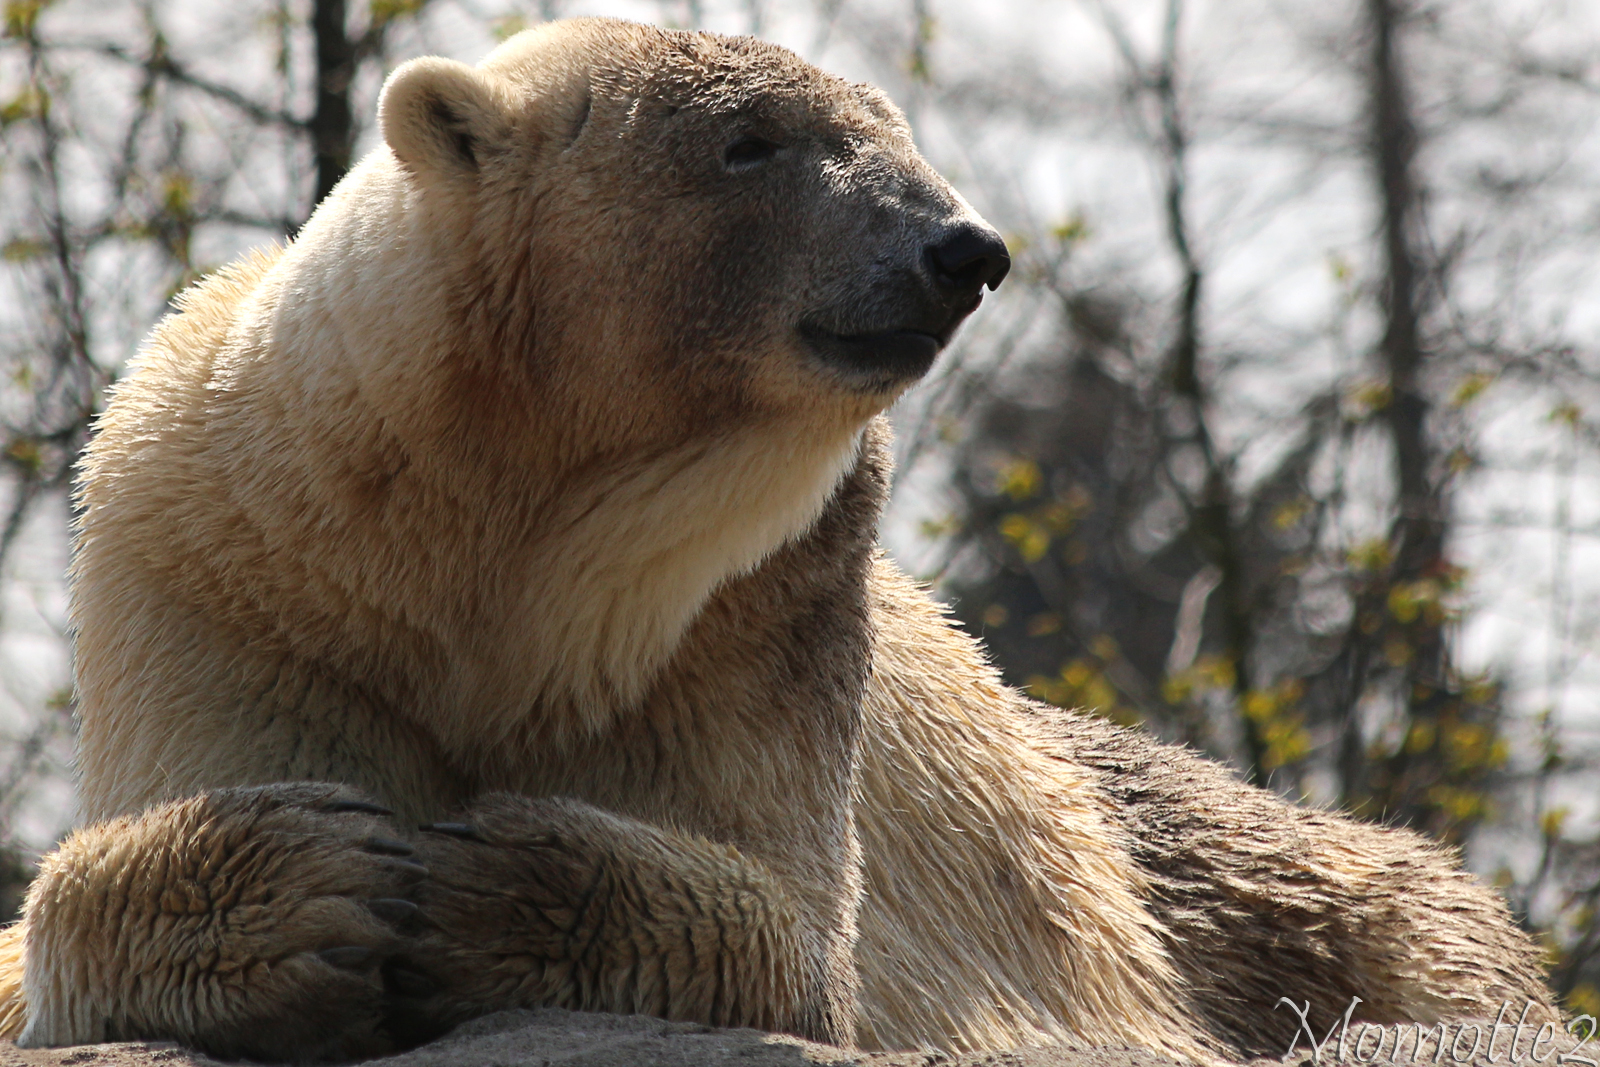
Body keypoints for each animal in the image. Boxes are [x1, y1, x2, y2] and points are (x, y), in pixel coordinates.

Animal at [0, 18, 1548, 1067]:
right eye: (751, 141)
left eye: (897, 133)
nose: (959, 248)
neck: (495, 537)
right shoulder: (231, 566)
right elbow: (63, 928)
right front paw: (325, 871)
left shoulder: (754, 618)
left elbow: (786, 934)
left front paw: (479, 878)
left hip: (1203, 865)